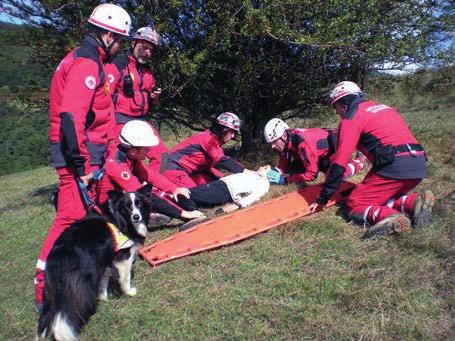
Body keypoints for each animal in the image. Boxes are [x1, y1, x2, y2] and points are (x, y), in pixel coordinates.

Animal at [36, 185, 153, 338]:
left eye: (139, 204)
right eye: (126, 207)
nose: (136, 217)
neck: (119, 218)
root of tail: (57, 255)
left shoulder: (105, 259)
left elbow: (104, 279)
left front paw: (103, 297)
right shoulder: (123, 255)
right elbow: (125, 278)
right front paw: (129, 292)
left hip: (52, 290)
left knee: (45, 318)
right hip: (80, 283)